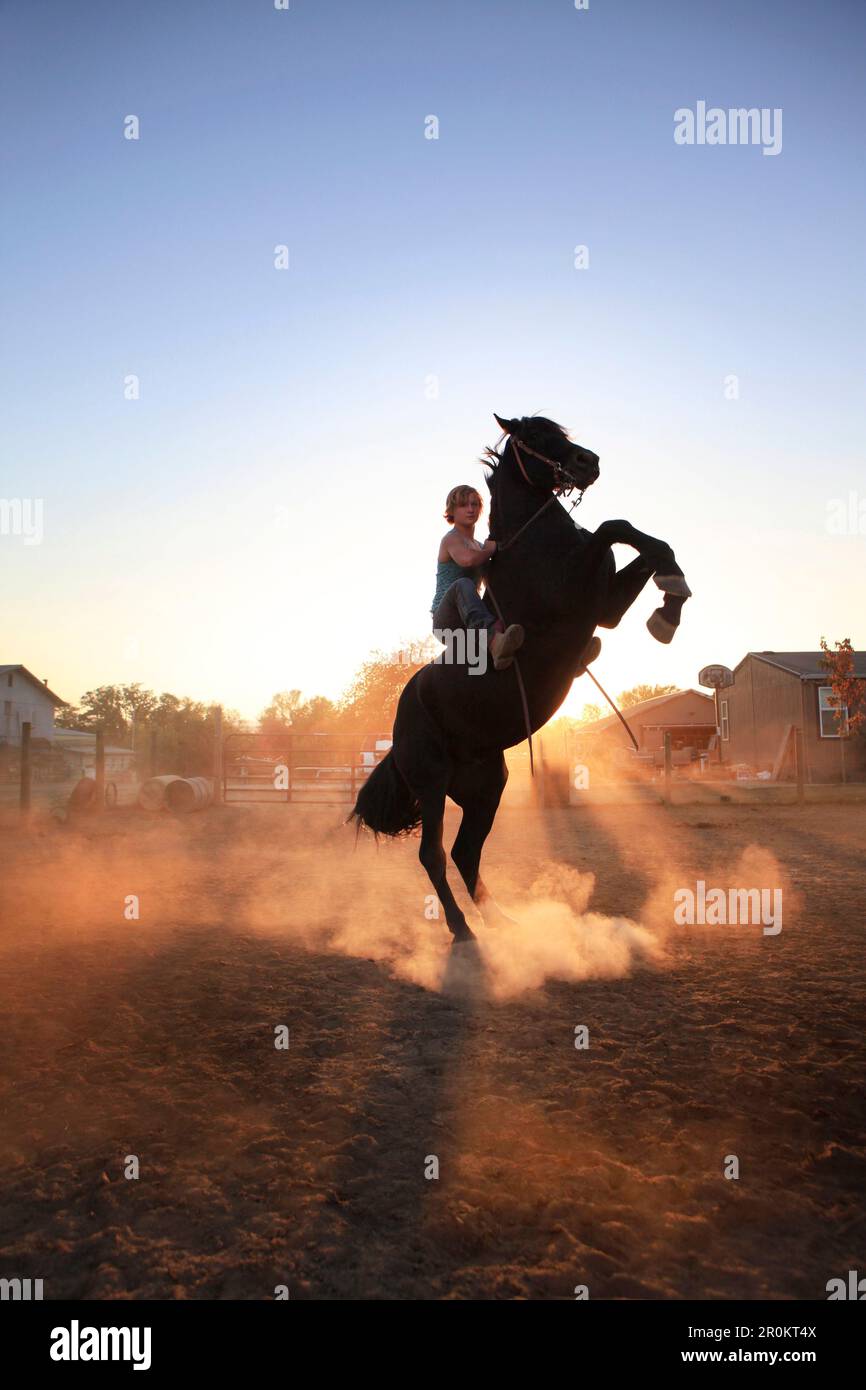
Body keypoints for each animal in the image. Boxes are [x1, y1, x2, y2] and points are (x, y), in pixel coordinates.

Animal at [353, 405, 692, 939]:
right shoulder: (578, 593)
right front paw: (670, 604)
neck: (534, 541)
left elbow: (641, 540)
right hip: (431, 783)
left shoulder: (605, 608)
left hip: (486, 787)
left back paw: (504, 922)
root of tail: (400, 723)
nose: (589, 461)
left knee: (465, 852)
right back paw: (462, 930)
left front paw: (670, 603)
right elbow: (612, 526)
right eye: (534, 434)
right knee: (433, 854)